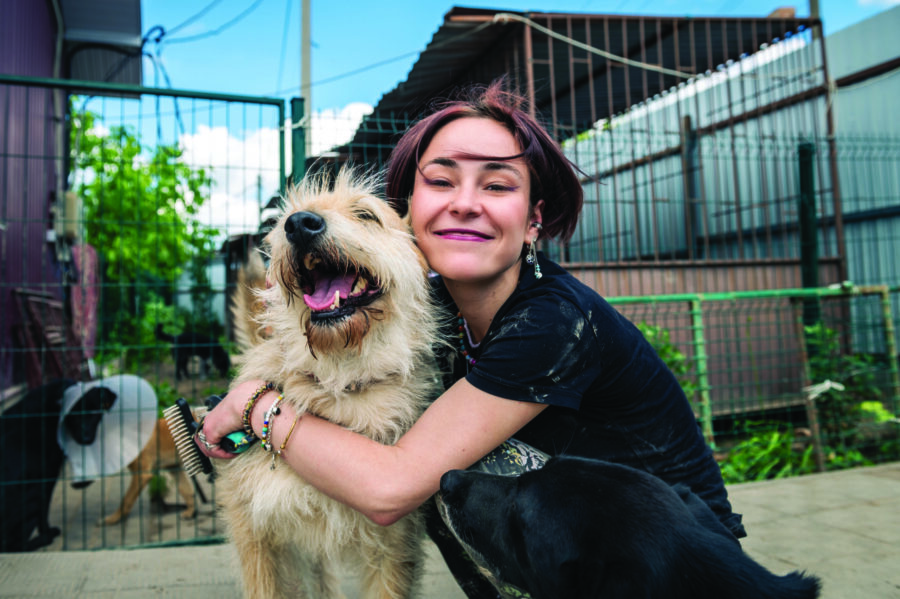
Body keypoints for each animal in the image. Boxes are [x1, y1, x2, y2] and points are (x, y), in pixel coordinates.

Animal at [0, 380, 118, 552]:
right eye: (74, 415)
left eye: (95, 412)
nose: (87, 438)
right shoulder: (48, 475)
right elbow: (43, 513)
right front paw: (47, 531)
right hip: (33, 496)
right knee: (11, 545)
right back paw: (44, 539)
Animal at [218, 168, 442, 599]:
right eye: (285, 221)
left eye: (366, 215)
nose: (299, 224)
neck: (339, 382)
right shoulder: (255, 535)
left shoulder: (394, 545)